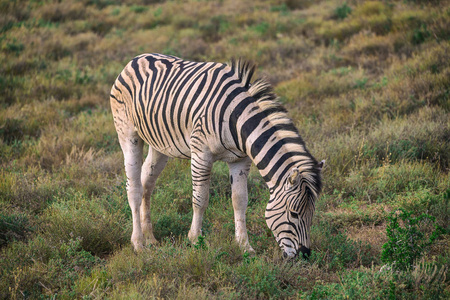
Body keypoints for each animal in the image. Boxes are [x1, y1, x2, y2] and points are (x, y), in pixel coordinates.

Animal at [111, 53, 326, 258]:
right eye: (294, 214)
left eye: (312, 214)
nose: (305, 254)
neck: (237, 118)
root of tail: (137, 59)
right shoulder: (201, 153)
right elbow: (200, 199)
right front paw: (195, 240)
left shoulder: (240, 160)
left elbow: (240, 200)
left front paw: (244, 246)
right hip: (128, 135)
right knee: (134, 188)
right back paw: (138, 244)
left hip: (160, 145)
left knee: (147, 182)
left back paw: (150, 238)